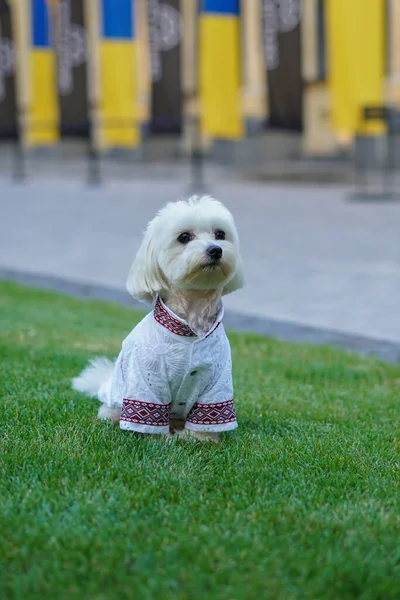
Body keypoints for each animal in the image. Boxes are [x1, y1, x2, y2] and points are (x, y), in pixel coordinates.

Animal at [72, 196, 244, 440]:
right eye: (184, 237)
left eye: (220, 234)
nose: (215, 250)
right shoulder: (147, 379)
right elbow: (148, 412)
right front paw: (158, 440)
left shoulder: (217, 382)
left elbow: (208, 416)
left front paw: (199, 438)